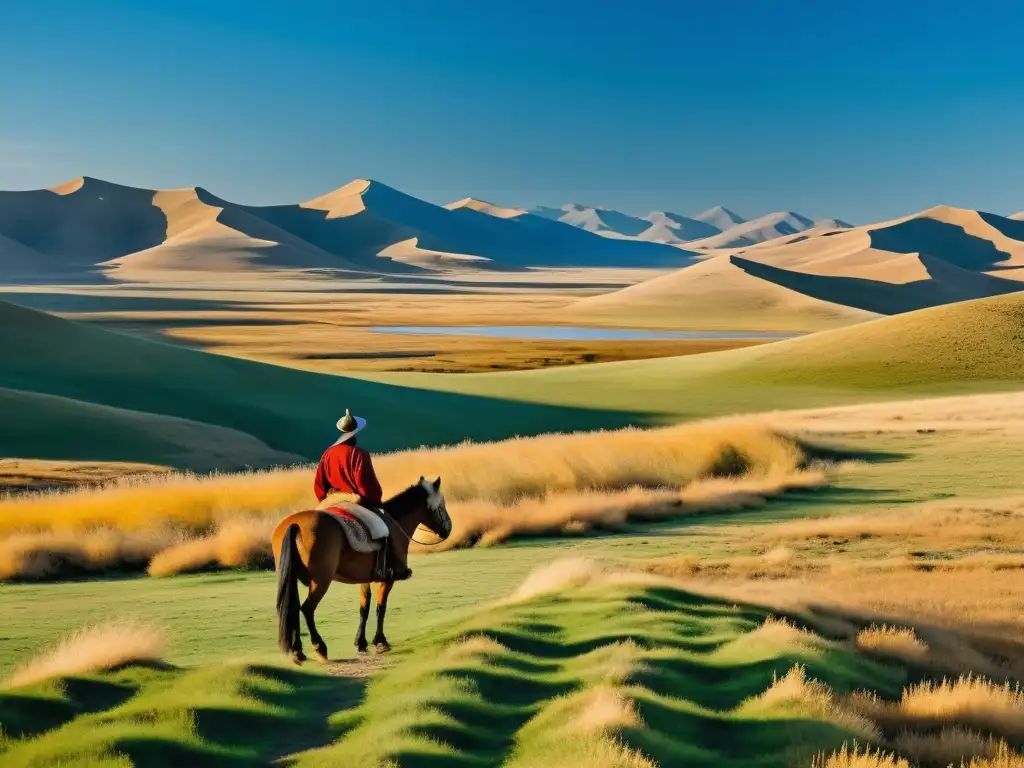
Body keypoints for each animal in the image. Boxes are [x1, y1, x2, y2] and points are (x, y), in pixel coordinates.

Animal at [272, 475, 452, 667]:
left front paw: (361, 642)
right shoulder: (388, 579)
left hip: (290, 578)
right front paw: (380, 641)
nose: (448, 528)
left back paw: (297, 651)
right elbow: (381, 607)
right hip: (321, 581)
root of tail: (295, 525)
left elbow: (364, 608)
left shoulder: (366, 578)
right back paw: (319, 648)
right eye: (442, 504)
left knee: (293, 609)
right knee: (307, 609)